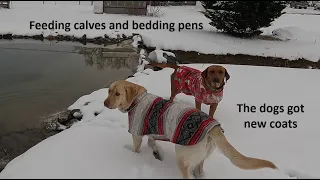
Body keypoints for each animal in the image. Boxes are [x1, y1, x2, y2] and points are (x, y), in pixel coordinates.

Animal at [103, 80, 278, 179]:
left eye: (117, 94)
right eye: (108, 91)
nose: (104, 103)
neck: (137, 99)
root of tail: (213, 126)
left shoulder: (136, 133)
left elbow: (135, 148)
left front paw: (133, 157)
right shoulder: (153, 131)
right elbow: (152, 140)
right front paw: (154, 150)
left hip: (182, 157)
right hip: (201, 158)